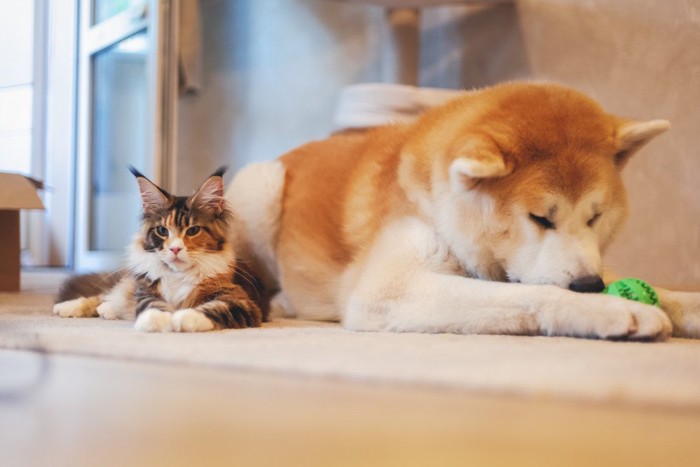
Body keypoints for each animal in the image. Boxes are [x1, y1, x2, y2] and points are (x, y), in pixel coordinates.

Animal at [53, 166, 268, 330]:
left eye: (193, 230)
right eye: (162, 230)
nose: (175, 249)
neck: (178, 275)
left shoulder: (241, 301)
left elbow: (214, 309)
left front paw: (183, 317)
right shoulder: (147, 290)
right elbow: (152, 305)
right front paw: (156, 320)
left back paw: (107, 310)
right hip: (133, 281)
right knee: (106, 294)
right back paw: (68, 307)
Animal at [226, 82, 700, 340]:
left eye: (595, 217)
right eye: (540, 219)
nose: (589, 285)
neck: (435, 205)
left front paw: (683, 304)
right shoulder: (388, 290)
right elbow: (534, 294)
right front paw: (612, 309)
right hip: (260, 184)